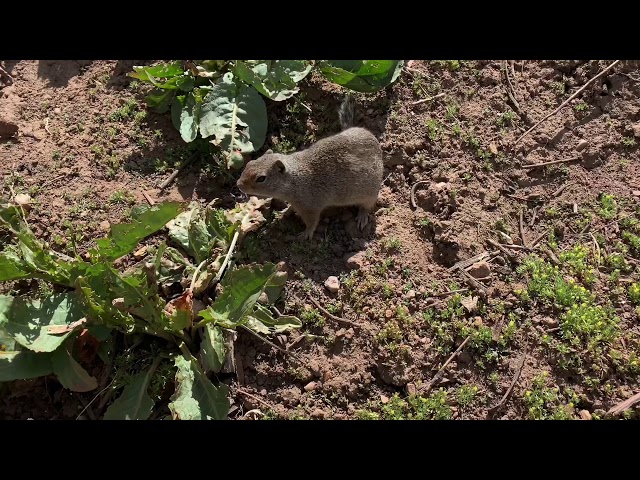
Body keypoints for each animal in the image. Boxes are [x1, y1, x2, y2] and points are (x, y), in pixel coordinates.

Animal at [238, 94, 382, 239]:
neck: (295, 180)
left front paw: (305, 234)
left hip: (369, 194)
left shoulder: (310, 208)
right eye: (249, 163)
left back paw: (362, 216)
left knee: (367, 206)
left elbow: (312, 222)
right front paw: (285, 211)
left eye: (261, 178)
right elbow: (291, 208)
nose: (239, 185)